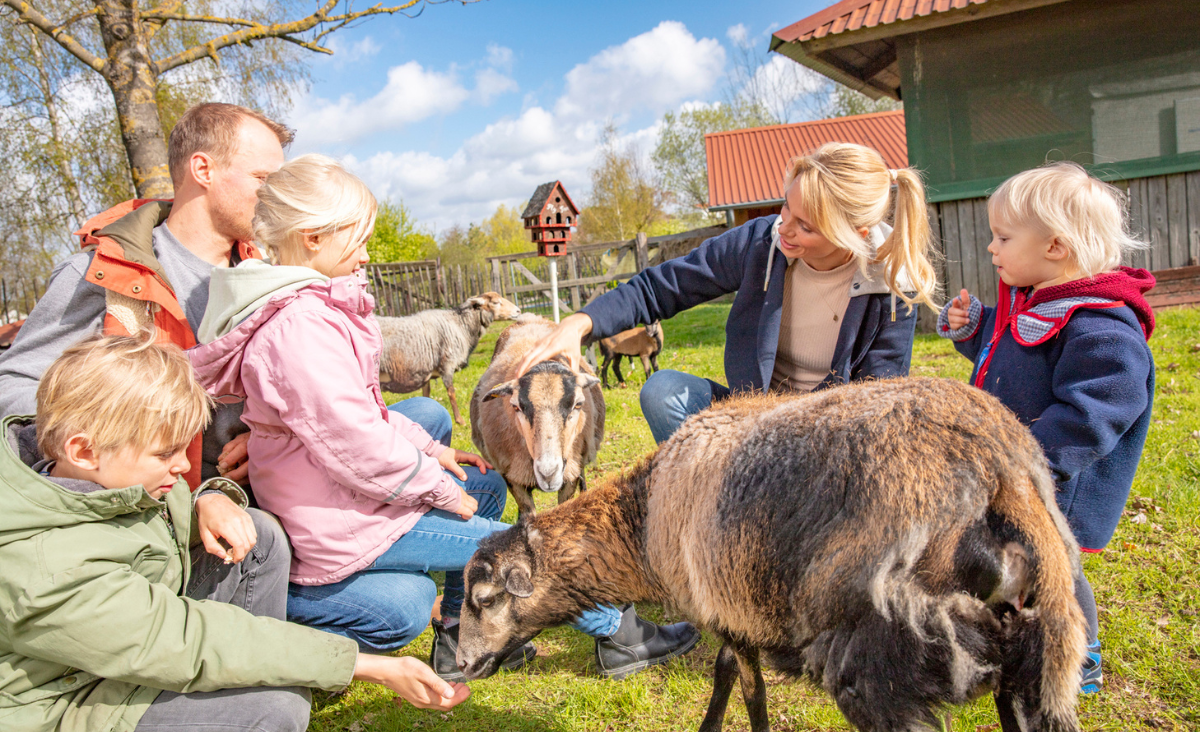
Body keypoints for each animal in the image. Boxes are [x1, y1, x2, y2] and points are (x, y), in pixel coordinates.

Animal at [378, 292, 521, 424]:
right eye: (496, 302)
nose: (518, 311)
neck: (461, 325)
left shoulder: (426, 370)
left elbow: (426, 393)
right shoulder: (447, 363)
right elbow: (451, 393)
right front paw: (460, 420)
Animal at [457, 378, 1086, 732]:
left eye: (484, 598)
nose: (462, 664)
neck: (641, 521)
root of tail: (1003, 470)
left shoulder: (728, 610)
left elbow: (748, 691)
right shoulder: (734, 606)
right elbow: (725, 673)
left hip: (884, 665)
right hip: (1027, 664)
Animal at [470, 316, 604, 518]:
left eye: (578, 404)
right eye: (516, 407)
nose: (548, 473)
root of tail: (530, 317)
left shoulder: (569, 475)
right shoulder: (510, 475)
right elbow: (528, 514)